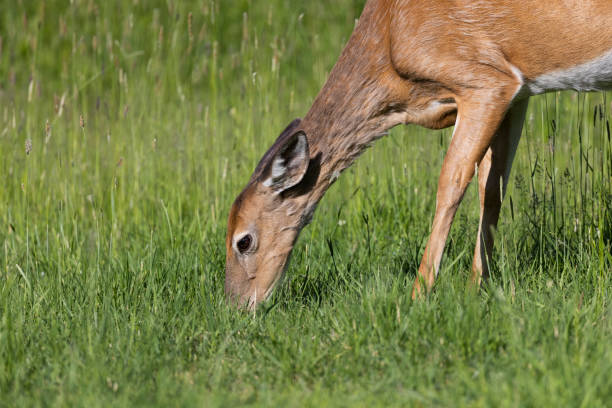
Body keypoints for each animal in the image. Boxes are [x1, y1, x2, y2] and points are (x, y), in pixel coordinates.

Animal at [224, 0, 612, 306]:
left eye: (243, 241)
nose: (238, 307)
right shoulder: (519, 93)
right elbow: (492, 188)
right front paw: (477, 289)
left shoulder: (487, 81)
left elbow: (451, 182)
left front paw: (418, 295)